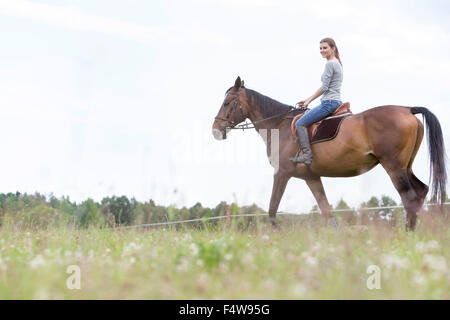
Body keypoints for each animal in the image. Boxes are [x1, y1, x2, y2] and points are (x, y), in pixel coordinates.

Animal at [212, 77, 446, 230]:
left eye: (226, 103)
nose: (216, 130)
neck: (279, 124)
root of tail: (407, 109)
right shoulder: (312, 177)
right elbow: (327, 211)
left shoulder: (282, 173)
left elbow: (271, 210)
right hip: (405, 167)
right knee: (420, 192)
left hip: (394, 167)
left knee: (409, 198)